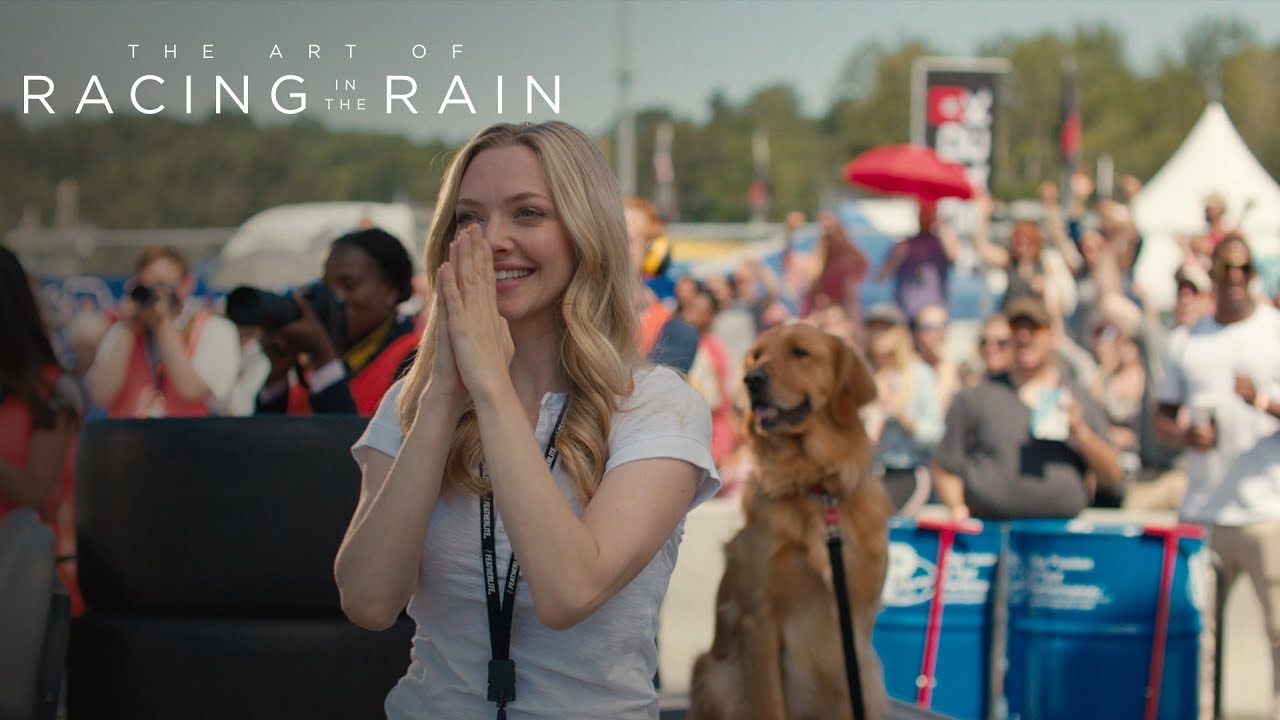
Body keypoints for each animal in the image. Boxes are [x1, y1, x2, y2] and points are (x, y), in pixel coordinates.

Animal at [691, 322, 890, 717]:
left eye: (800, 352)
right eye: (755, 355)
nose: (752, 379)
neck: (815, 486)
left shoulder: (855, 629)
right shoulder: (759, 618)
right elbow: (768, 704)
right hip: (714, 674)